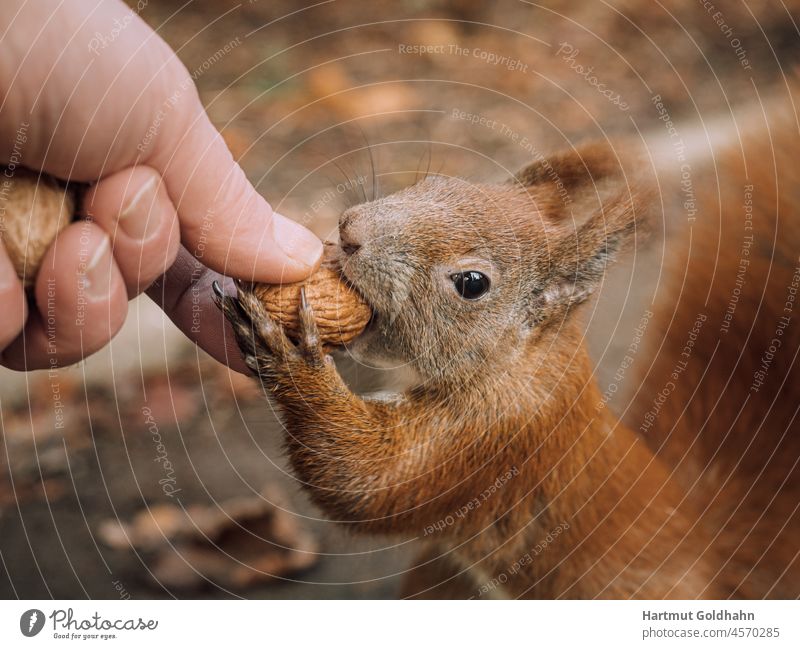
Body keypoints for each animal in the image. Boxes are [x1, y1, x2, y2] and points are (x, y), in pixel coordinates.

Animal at [216, 87, 800, 596]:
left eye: (472, 284)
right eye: (434, 183)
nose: (349, 230)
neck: (518, 362)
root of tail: (707, 557)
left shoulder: (496, 434)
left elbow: (365, 479)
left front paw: (289, 357)